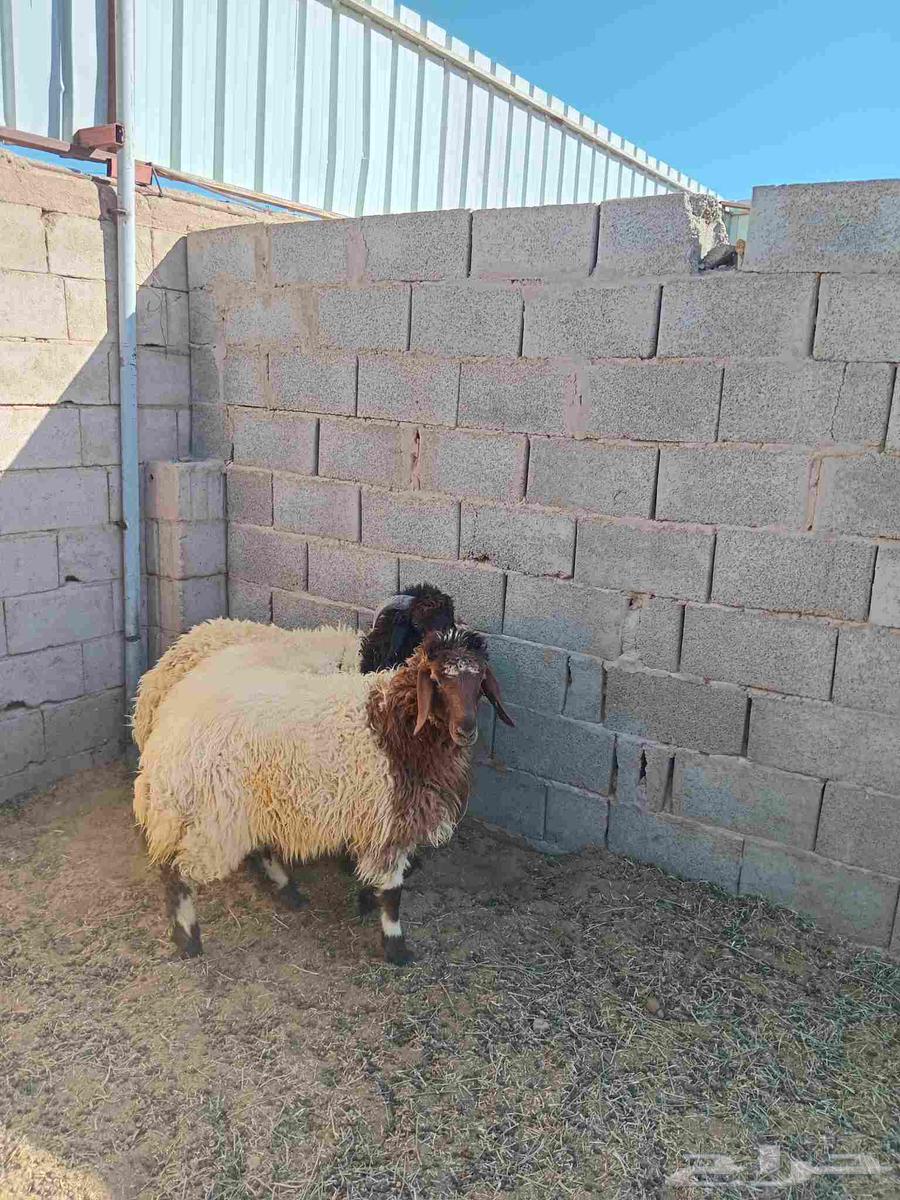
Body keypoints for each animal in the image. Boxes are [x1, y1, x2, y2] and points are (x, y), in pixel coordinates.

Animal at [134, 628, 514, 965]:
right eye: (436, 679)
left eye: (480, 680)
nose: (466, 729)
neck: (400, 723)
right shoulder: (392, 822)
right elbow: (393, 893)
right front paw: (395, 947)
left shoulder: (375, 823)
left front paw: (366, 901)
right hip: (214, 815)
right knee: (177, 871)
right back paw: (188, 938)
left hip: (252, 804)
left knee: (257, 849)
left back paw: (288, 892)